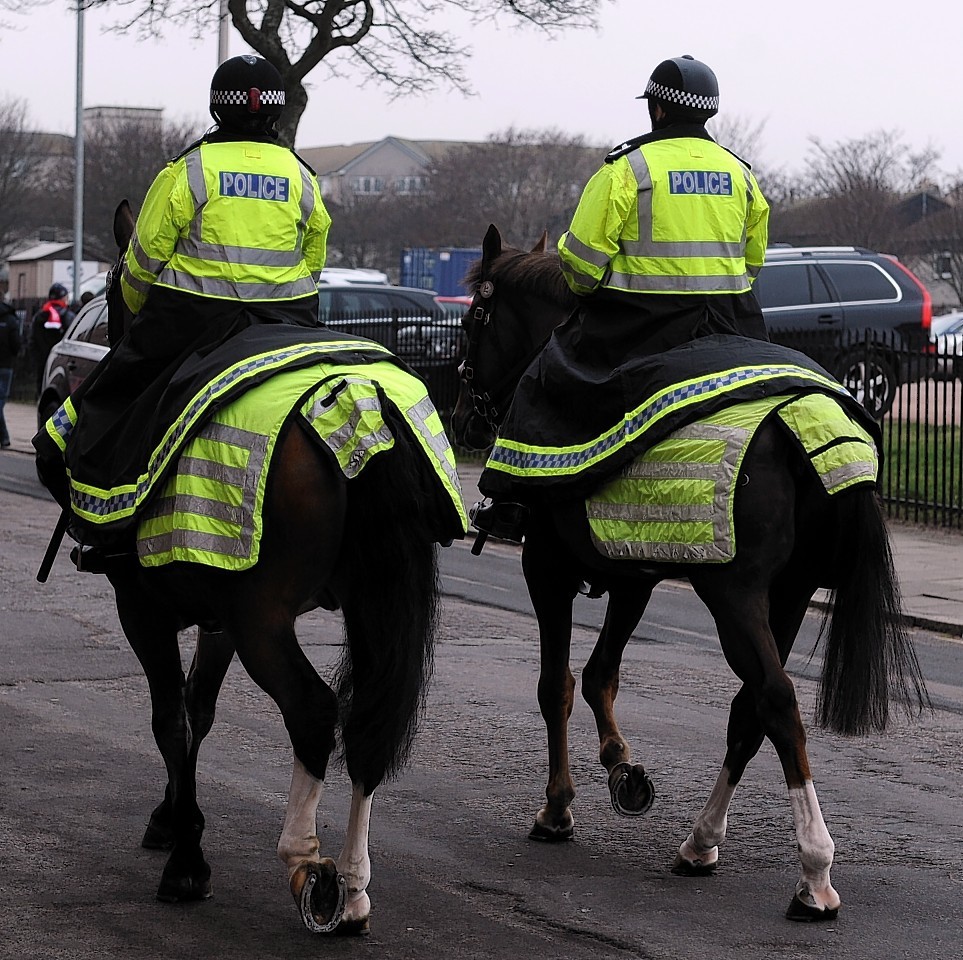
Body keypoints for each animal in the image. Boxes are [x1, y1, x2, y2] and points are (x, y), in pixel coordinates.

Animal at [40, 204, 452, 936]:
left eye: (115, 291)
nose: (102, 337)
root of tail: (357, 402)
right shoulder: (220, 616)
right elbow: (197, 710)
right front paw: (173, 819)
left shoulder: (144, 609)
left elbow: (170, 718)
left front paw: (186, 859)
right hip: (364, 606)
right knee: (367, 728)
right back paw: (353, 888)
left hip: (265, 618)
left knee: (314, 711)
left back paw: (308, 867)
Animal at [456, 225, 932, 924]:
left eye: (474, 320)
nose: (464, 416)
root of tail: (806, 421)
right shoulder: (635, 570)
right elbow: (600, 675)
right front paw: (623, 770)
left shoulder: (546, 566)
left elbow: (556, 686)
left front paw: (558, 806)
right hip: (788, 595)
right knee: (748, 709)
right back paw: (701, 841)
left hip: (734, 592)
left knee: (776, 699)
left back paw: (814, 871)